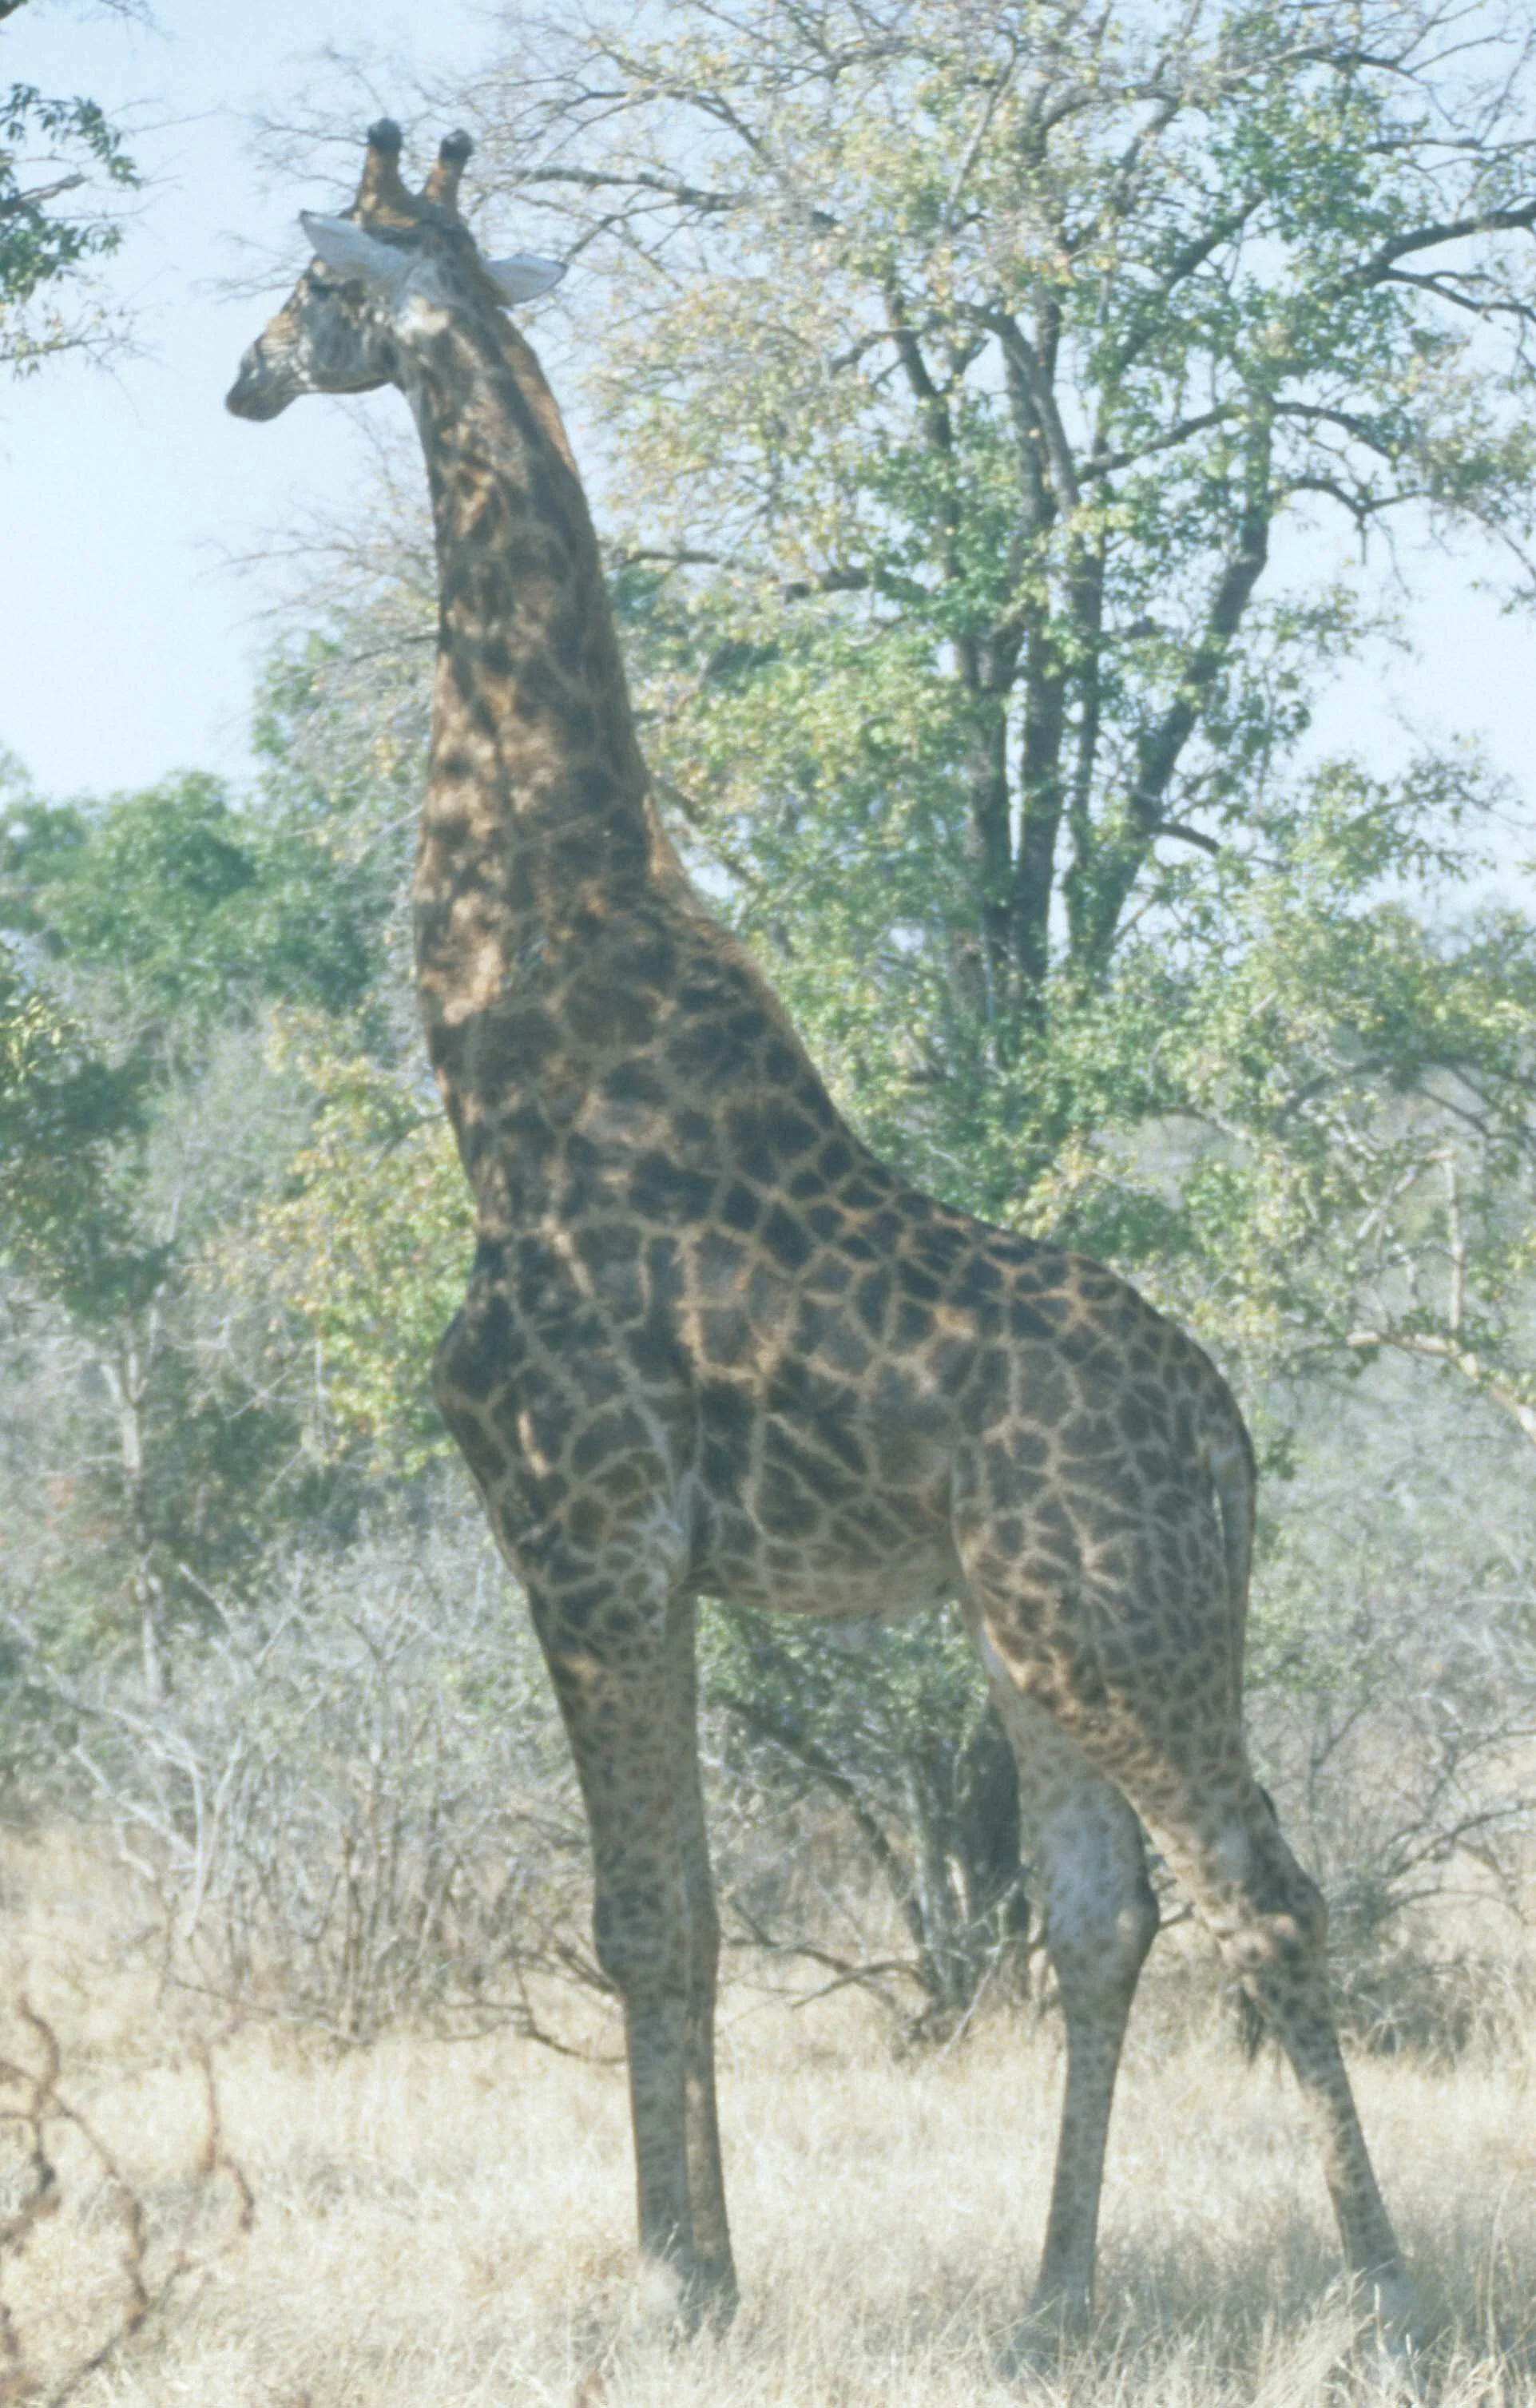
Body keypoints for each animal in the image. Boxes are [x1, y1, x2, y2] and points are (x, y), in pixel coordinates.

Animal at [228, 121, 1417, 2352]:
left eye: (321, 283)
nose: (244, 378)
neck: (502, 1038)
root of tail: (1228, 1436)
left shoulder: (584, 1527)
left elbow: (649, 1913)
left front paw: (675, 2281)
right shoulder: (642, 1557)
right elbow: (686, 1910)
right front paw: (704, 2263)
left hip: (1121, 1619)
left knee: (1261, 1895)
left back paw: (1381, 2302)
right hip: (1027, 1625)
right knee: (1102, 1912)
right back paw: (1049, 2304)